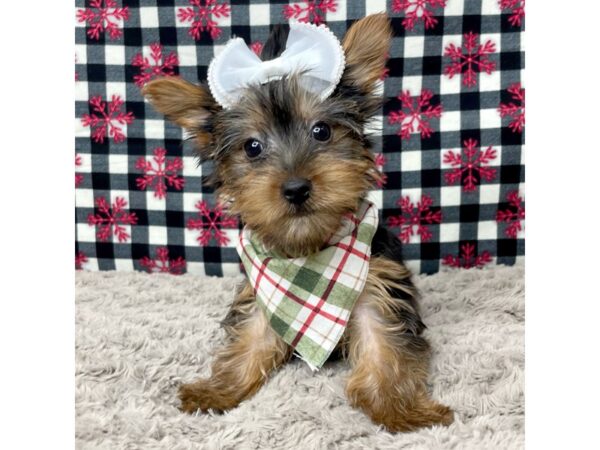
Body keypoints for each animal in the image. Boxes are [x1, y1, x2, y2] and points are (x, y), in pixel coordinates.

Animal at [144, 12, 454, 430]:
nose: (295, 188)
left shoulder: (377, 289)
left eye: (321, 130)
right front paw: (216, 391)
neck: (307, 252)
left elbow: (384, 346)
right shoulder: (262, 298)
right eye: (252, 147)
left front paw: (400, 408)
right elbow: (250, 340)